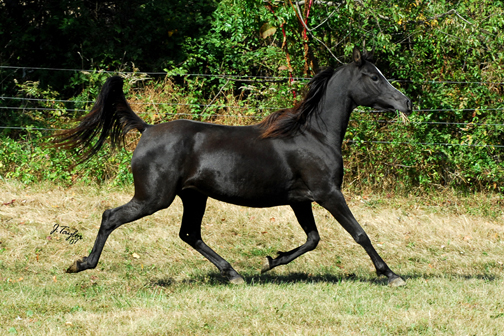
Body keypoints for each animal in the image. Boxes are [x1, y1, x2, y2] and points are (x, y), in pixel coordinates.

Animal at [55, 48, 412, 288]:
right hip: (153, 198)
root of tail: (147, 129)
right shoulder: (328, 193)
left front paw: (271, 262)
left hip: (193, 197)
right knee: (111, 217)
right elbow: (359, 233)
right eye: (374, 76)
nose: (406, 102)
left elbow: (312, 238)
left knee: (189, 234)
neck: (314, 134)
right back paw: (81, 264)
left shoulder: (300, 200)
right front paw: (391, 274)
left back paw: (234, 274)